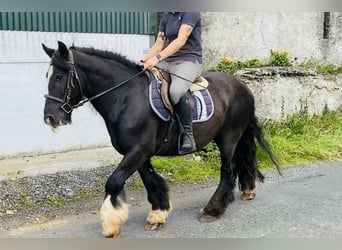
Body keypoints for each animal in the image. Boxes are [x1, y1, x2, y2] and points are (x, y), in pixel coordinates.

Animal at [41, 41, 280, 238]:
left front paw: (111, 224)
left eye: (59, 77)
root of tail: (242, 85)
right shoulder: (138, 152)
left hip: (228, 136)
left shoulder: (138, 150)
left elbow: (113, 181)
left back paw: (213, 209)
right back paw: (247, 190)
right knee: (241, 161)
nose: (50, 118)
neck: (126, 97)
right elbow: (150, 180)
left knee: (228, 170)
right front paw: (159, 213)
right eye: (48, 76)